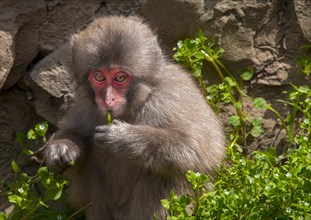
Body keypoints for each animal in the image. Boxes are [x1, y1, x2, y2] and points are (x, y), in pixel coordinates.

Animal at [44, 15, 225, 218]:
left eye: (120, 78)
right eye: (99, 77)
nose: (108, 99)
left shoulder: (170, 96)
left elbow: (198, 148)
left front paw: (124, 138)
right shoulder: (83, 104)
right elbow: (75, 134)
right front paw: (62, 148)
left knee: (164, 174)